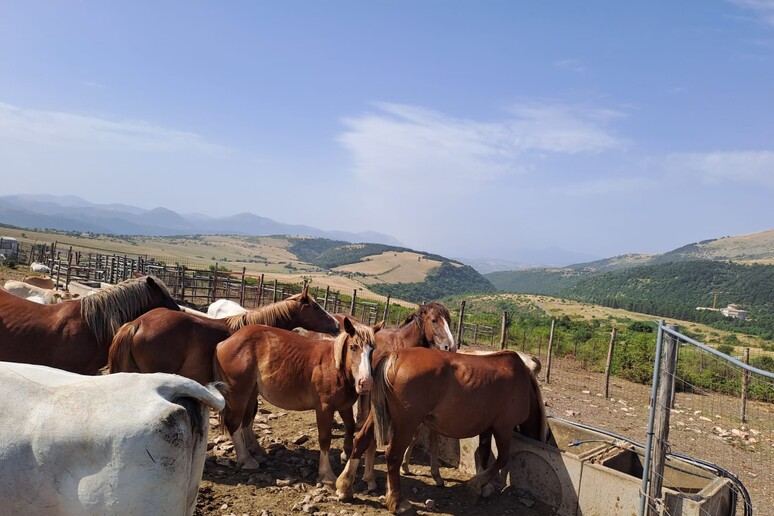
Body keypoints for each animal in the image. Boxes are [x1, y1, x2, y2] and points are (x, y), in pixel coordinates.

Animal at [214, 316, 380, 486]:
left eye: (372, 350)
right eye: (353, 347)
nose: (366, 383)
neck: (334, 366)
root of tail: (224, 343)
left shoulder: (344, 406)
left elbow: (350, 427)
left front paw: (346, 454)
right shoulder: (325, 409)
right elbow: (325, 439)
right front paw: (326, 474)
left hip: (252, 392)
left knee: (247, 420)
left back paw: (257, 451)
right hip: (239, 394)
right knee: (234, 423)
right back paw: (246, 459)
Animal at [336, 348, 548, 512]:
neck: (522, 382)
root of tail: (396, 355)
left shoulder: (488, 427)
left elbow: (485, 453)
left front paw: (484, 485)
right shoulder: (503, 427)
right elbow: (502, 458)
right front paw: (477, 484)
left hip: (376, 415)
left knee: (360, 441)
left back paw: (345, 487)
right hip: (406, 423)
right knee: (393, 456)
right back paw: (398, 502)